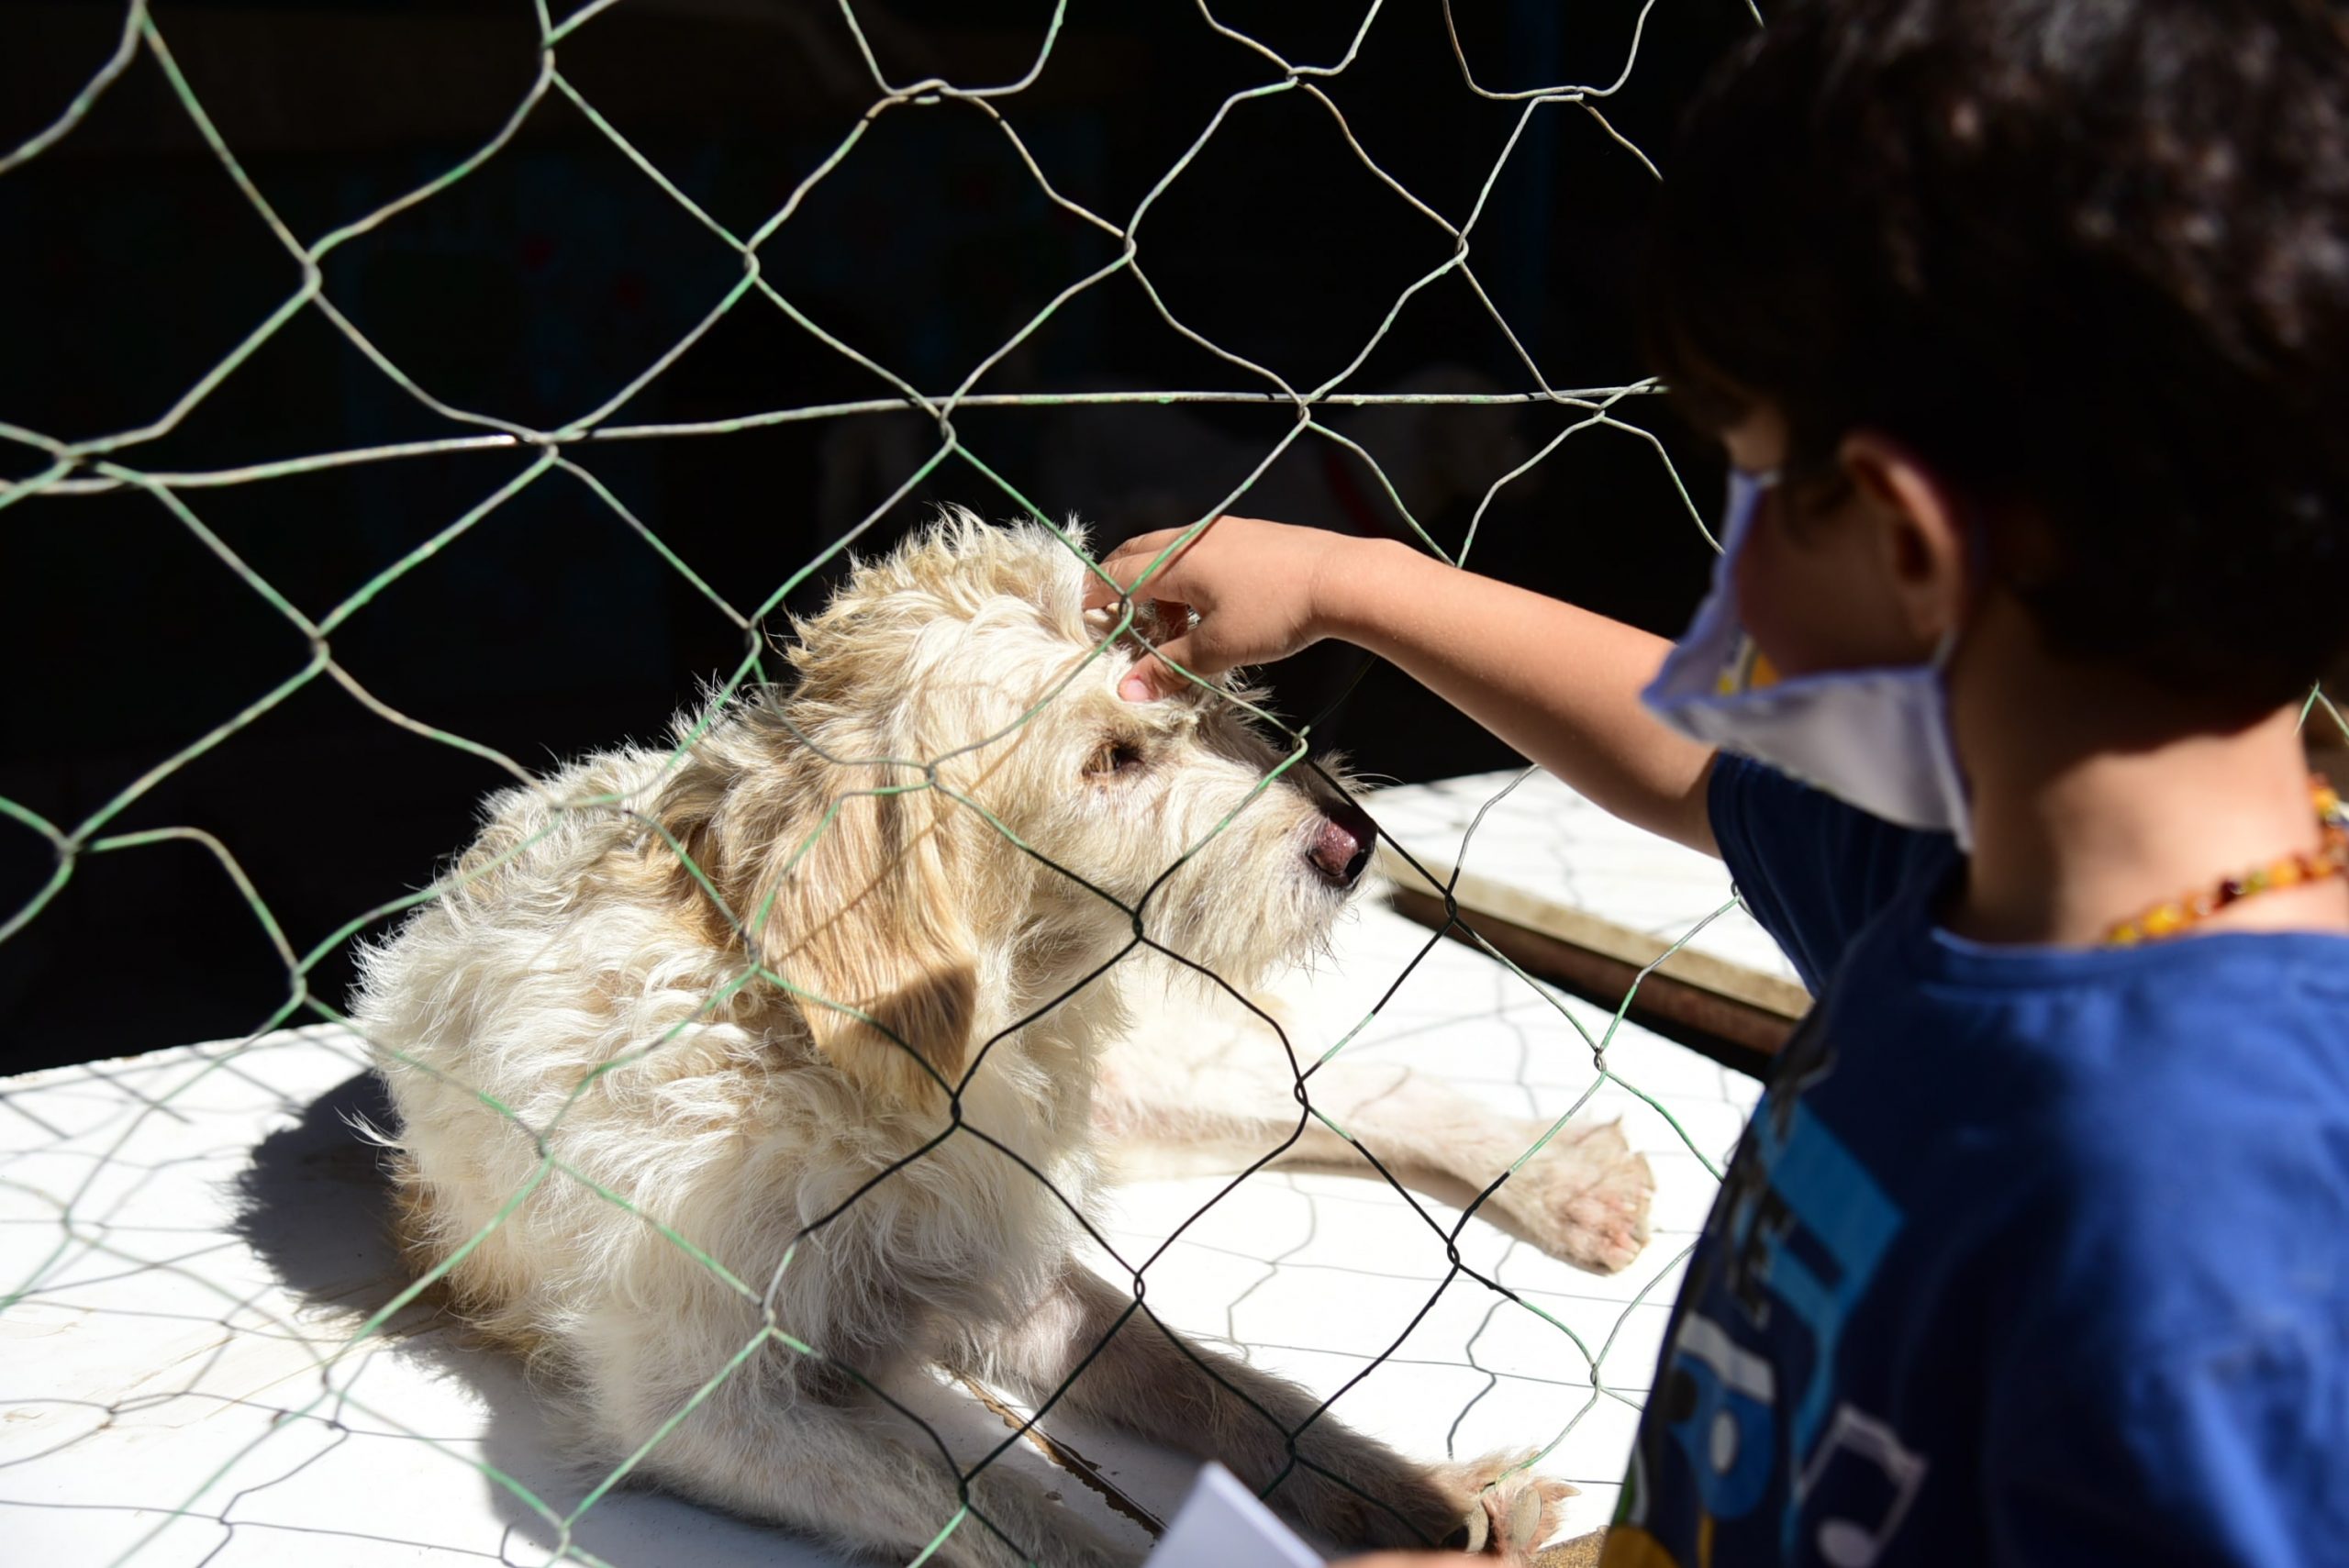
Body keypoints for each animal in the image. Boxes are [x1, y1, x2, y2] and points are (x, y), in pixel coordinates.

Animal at [357, 514, 1663, 1568]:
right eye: (1111, 757)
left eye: (1207, 706)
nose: (1354, 837)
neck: (825, 1064)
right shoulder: (703, 1405)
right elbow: (996, 1511)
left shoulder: (1001, 1254)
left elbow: (1211, 1383)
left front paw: (1418, 1491)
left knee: (1363, 1087)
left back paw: (1564, 1180)